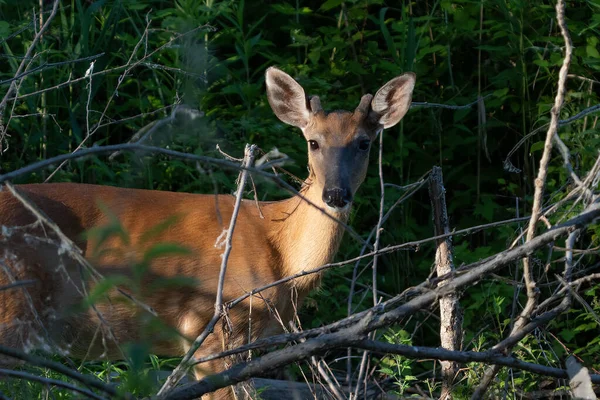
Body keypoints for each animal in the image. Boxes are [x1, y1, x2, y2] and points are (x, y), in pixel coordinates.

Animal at [0, 67, 414, 398]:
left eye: (364, 143)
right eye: (313, 142)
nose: (335, 194)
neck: (281, 253)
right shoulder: (212, 330)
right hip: (13, 306)